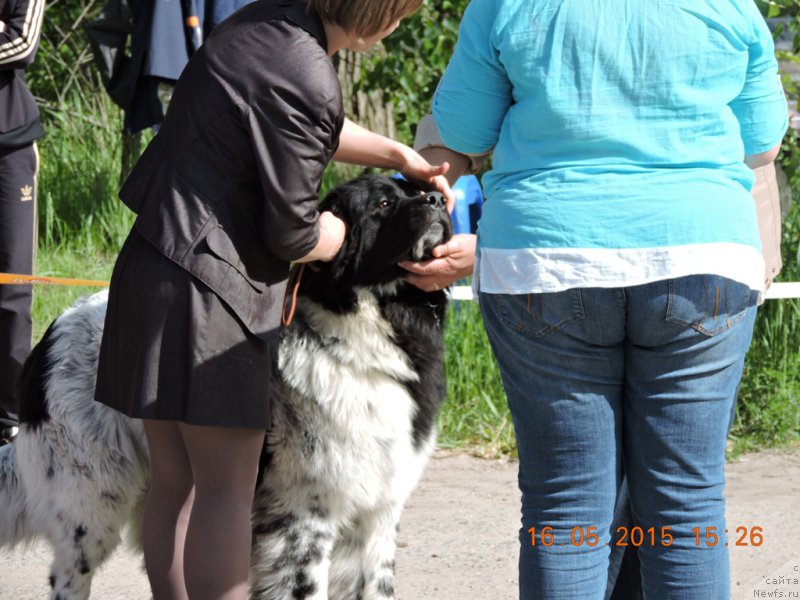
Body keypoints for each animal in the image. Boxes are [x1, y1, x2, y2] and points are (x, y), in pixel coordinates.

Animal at [0, 175, 450, 600]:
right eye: (383, 203)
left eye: (417, 189)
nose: (438, 199)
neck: (362, 340)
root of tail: (52, 334)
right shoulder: (304, 516)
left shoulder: (376, 515)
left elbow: (376, 585)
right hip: (93, 502)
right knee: (71, 574)